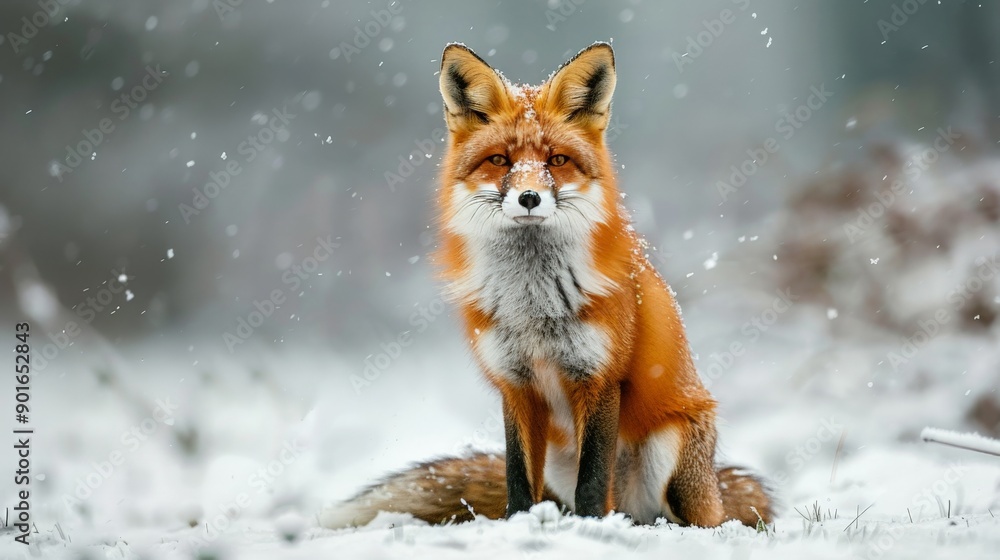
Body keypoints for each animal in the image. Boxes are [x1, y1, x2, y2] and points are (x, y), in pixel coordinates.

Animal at [323, 42, 774, 529]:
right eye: (500, 160)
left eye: (556, 160)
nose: (529, 198)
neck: (532, 303)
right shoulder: (516, 384)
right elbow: (518, 477)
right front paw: (520, 524)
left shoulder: (599, 378)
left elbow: (592, 480)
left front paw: (592, 530)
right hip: (562, 460)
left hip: (671, 457)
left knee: (697, 521)